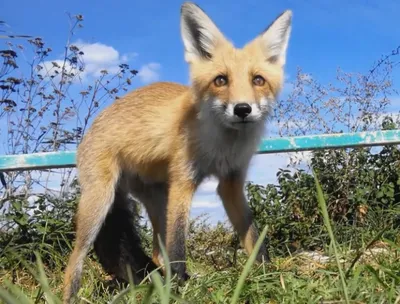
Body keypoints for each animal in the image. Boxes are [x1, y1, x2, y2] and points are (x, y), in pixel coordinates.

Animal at [63, 1, 294, 302]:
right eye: (221, 80)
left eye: (258, 80)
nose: (242, 109)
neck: (221, 145)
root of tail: (94, 124)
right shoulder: (183, 181)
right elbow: (178, 247)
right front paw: (179, 290)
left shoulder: (231, 182)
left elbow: (253, 237)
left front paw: (269, 276)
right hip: (100, 203)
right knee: (74, 263)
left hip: (157, 200)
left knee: (156, 255)